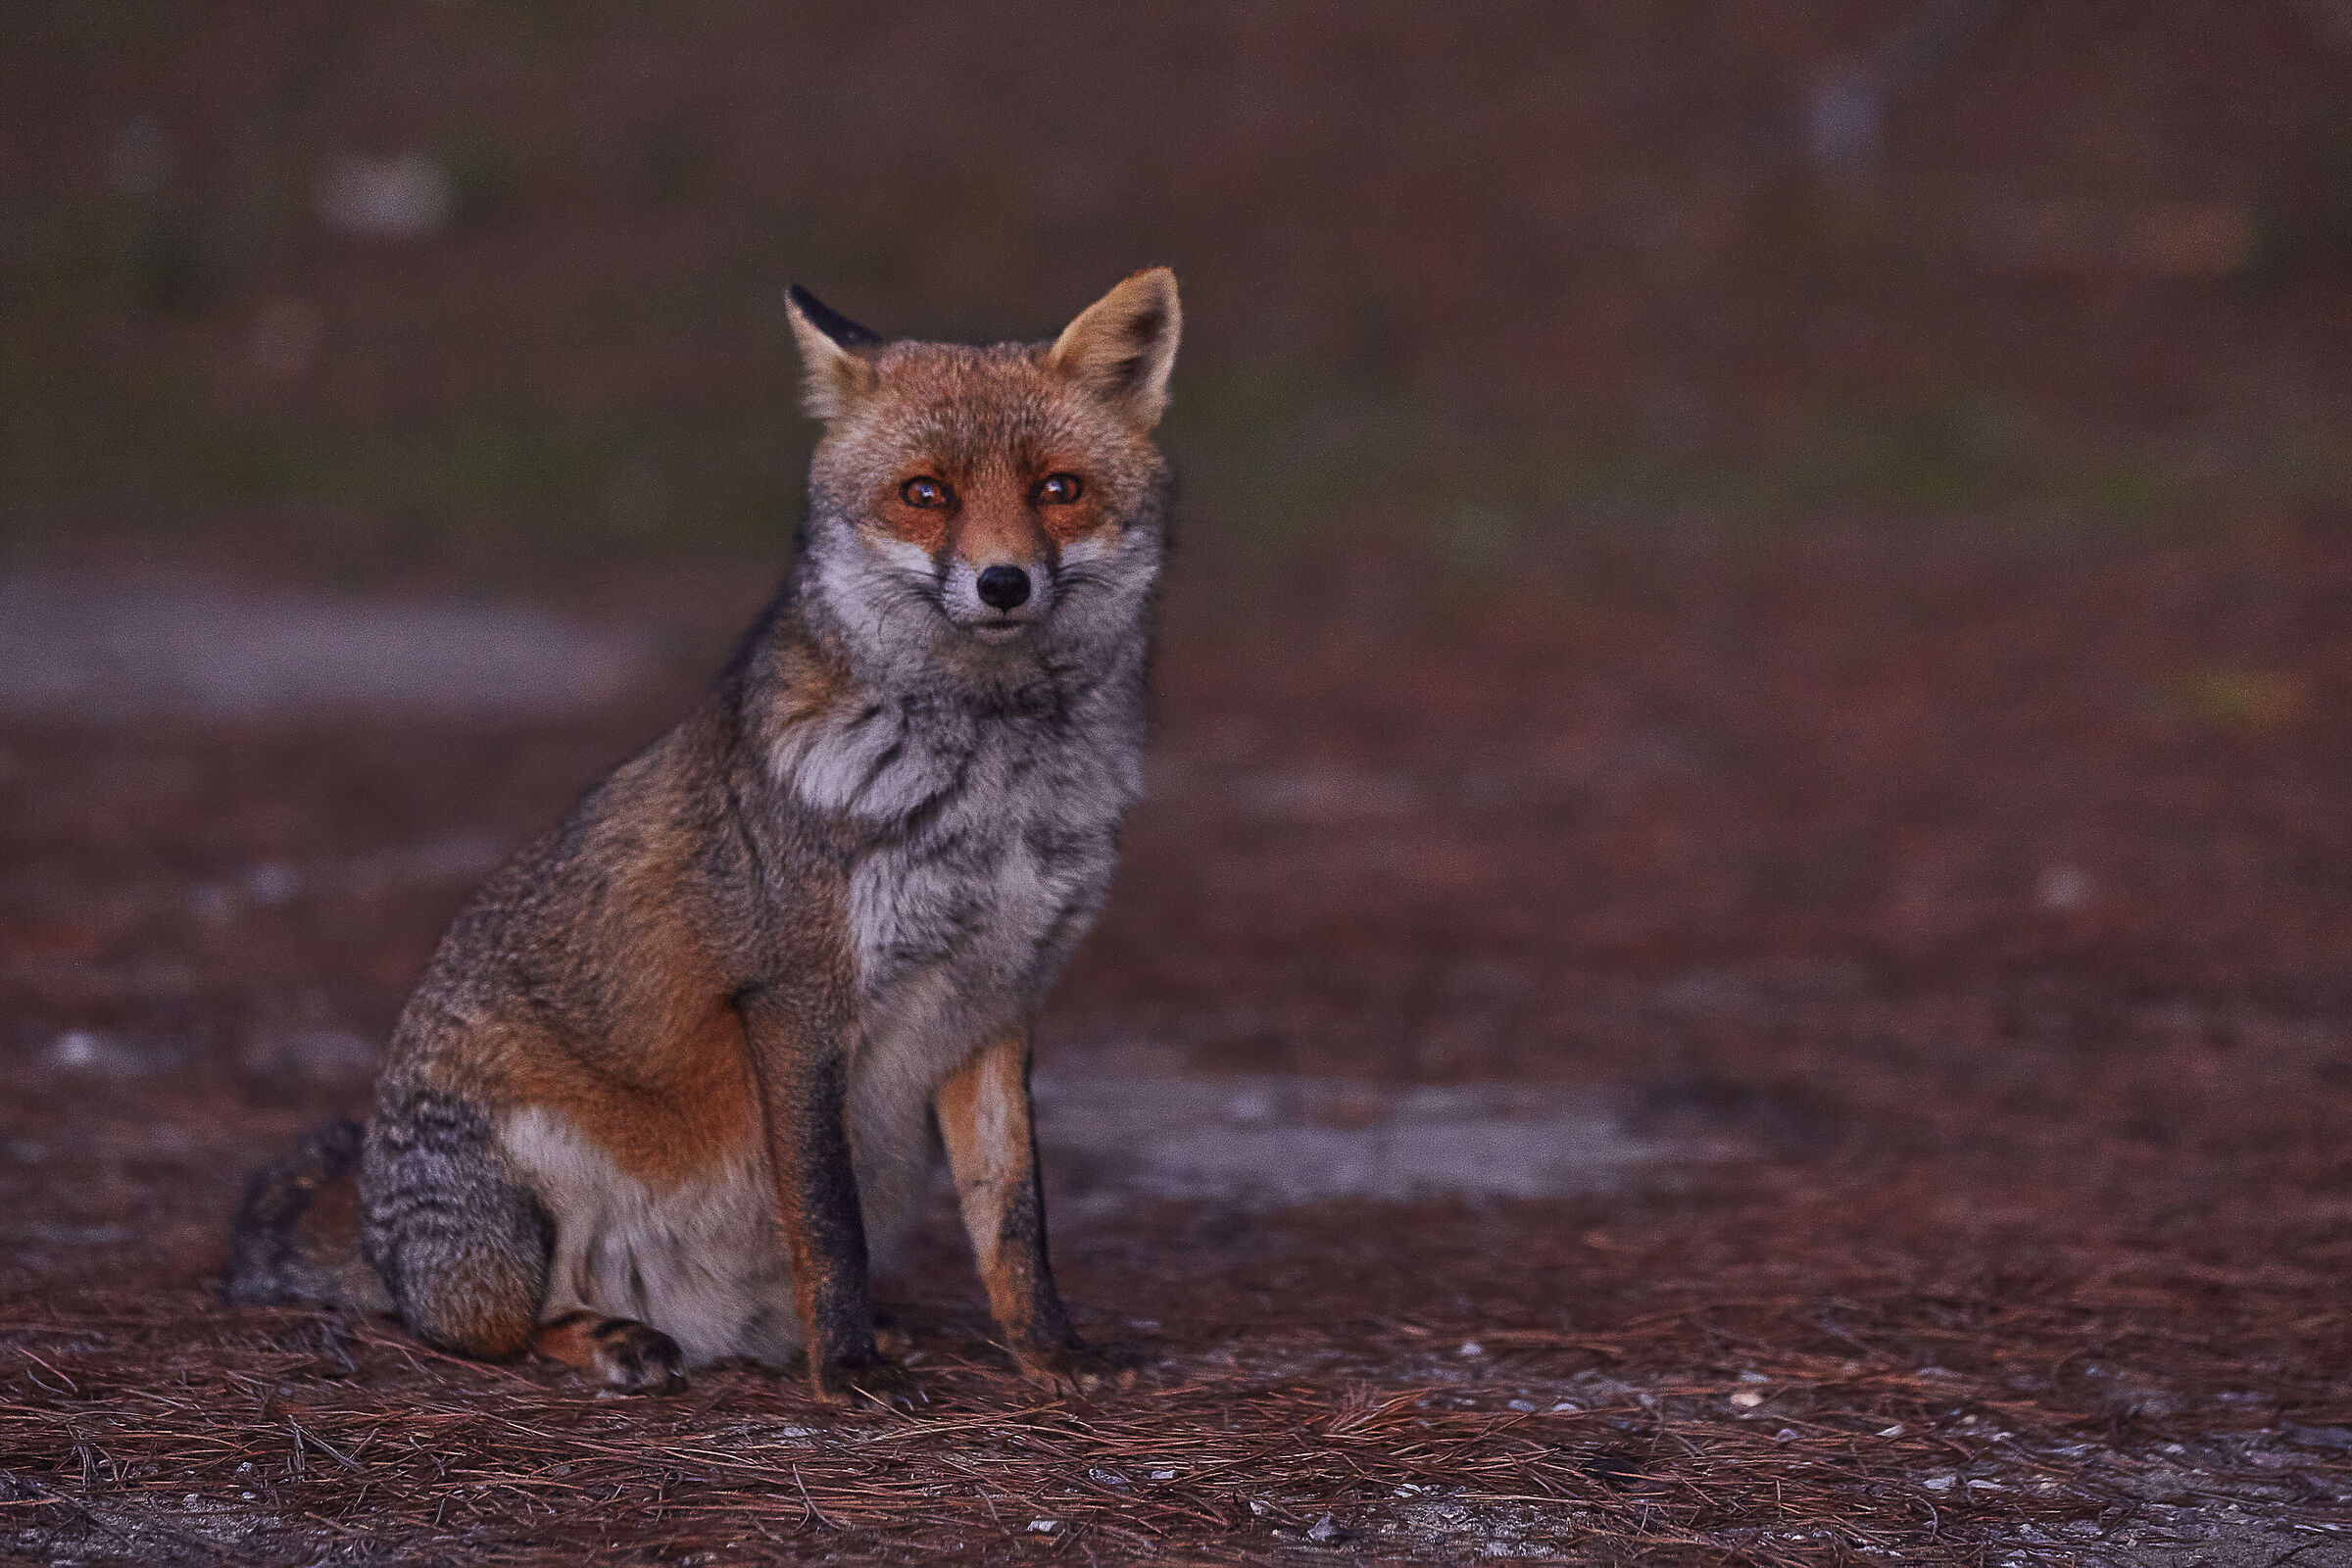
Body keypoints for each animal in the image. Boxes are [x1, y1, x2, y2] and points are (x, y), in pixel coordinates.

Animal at [224, 269, 1182, 1403]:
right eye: (925, 493)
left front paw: (1047, 1353)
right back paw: (613, 1336)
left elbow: (1015, 1221)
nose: (1003, 582)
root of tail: (377, 1239)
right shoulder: (797, 998)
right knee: (477, 1327)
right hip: (523, 1203)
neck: (997, 796)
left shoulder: (999, 1002)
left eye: (1057, 489)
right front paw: (846, 1373)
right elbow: (829, 1221)